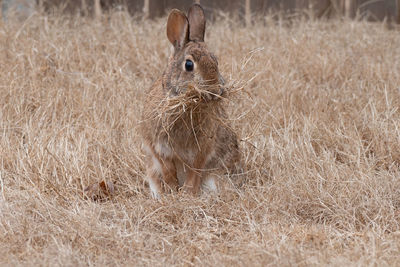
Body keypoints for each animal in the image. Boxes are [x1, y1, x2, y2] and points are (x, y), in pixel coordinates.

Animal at [140, 3, 241, 198]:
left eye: (215, 61)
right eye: (189, 65)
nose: (214, 90)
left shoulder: (203, 148)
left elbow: (195, 170)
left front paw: (187, 193)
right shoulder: (157, 145)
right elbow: (167, 169)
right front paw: (173, 191)